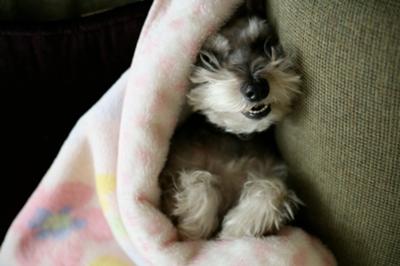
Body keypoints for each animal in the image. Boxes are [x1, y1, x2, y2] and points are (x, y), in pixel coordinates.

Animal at [159, 6, 300, 240]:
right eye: (207, 58)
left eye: (265, 43)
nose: (257, 88)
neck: (234, 135)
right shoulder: (171, 172)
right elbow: (198, 179)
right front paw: (193, 226)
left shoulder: (274, 170)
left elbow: (273, 187)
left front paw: (239, 225)